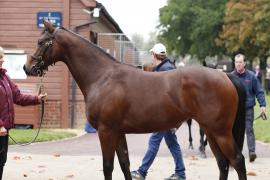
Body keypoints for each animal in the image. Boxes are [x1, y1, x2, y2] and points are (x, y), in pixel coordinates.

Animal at [23, 21, 247, 180]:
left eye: (41, 42)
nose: (28, 68)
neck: (102, 76)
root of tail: (225, 76)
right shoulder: (118, 132)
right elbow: (125, 164)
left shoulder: (106, 131)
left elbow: (108, 167)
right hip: (210, 131)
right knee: (223, 163)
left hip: (220, 132)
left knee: (237, 161)